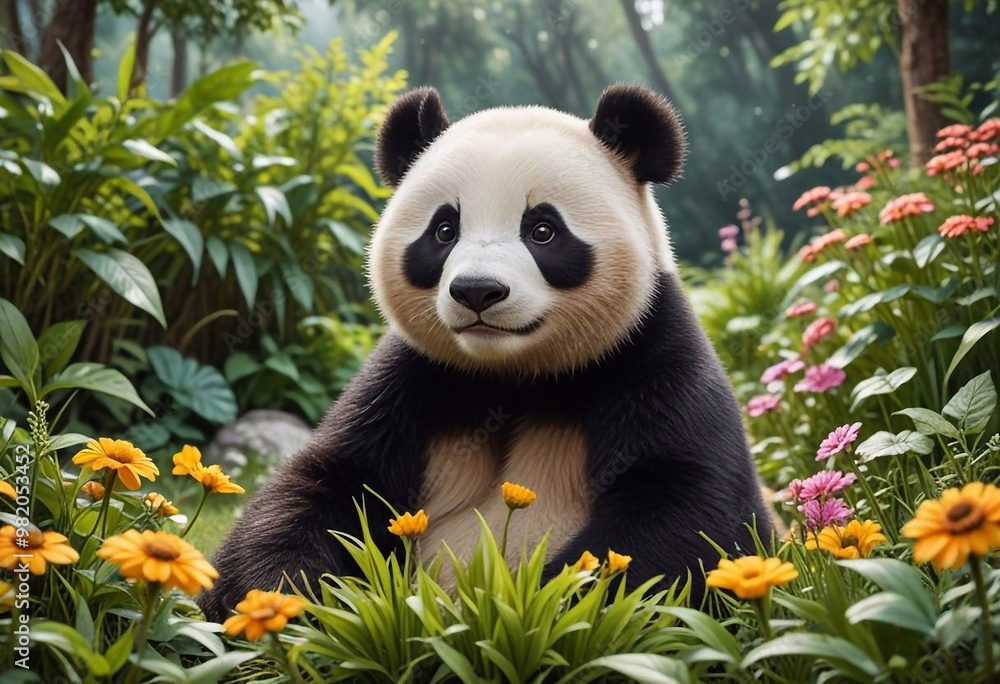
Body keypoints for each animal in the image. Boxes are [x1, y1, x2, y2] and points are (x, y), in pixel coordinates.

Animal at [199, 83, 773, 621]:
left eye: (543, 230)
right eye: (444, 229)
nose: (477, 290)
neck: (511, 373)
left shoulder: (651, 352)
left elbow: (679, 505)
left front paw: (517, 605)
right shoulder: (415, 375)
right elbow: (329, 482)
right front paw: (284, 597)